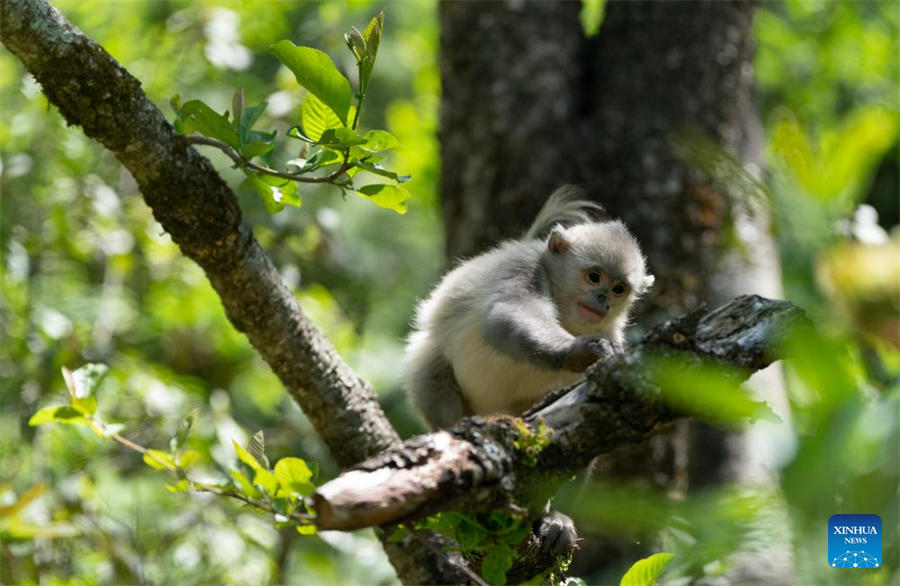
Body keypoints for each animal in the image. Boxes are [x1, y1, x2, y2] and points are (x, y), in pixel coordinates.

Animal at [406, 185, 652, 426]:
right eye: (594, 276)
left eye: (618, 289)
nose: (603, 298)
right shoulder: (524, 268)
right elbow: (507, 313)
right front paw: (580, 350)